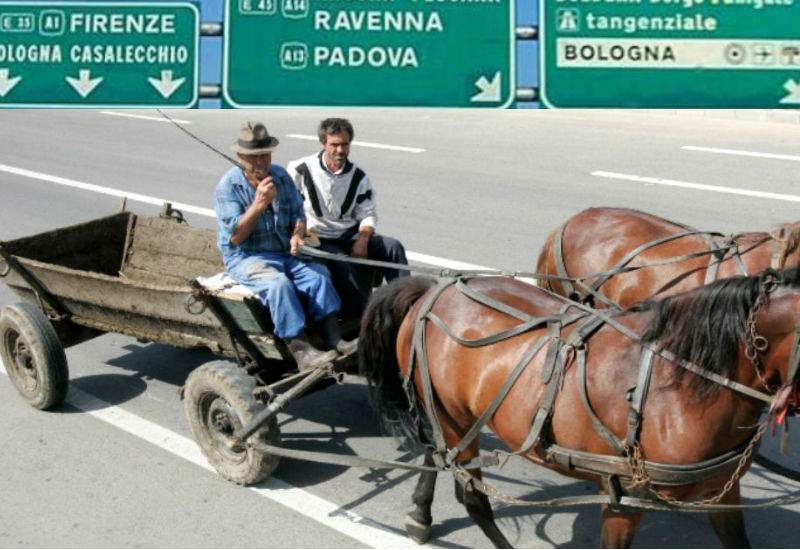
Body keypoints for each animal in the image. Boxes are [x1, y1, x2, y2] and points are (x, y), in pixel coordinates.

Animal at [360, 270, 800, 548]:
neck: (677, 384)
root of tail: (434, 289)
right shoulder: (622, 499)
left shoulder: (723, 493)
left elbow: (737, 540)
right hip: (453, 417)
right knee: (473, 498)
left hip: (448, 420)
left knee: (437, 456)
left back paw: (420, 514)